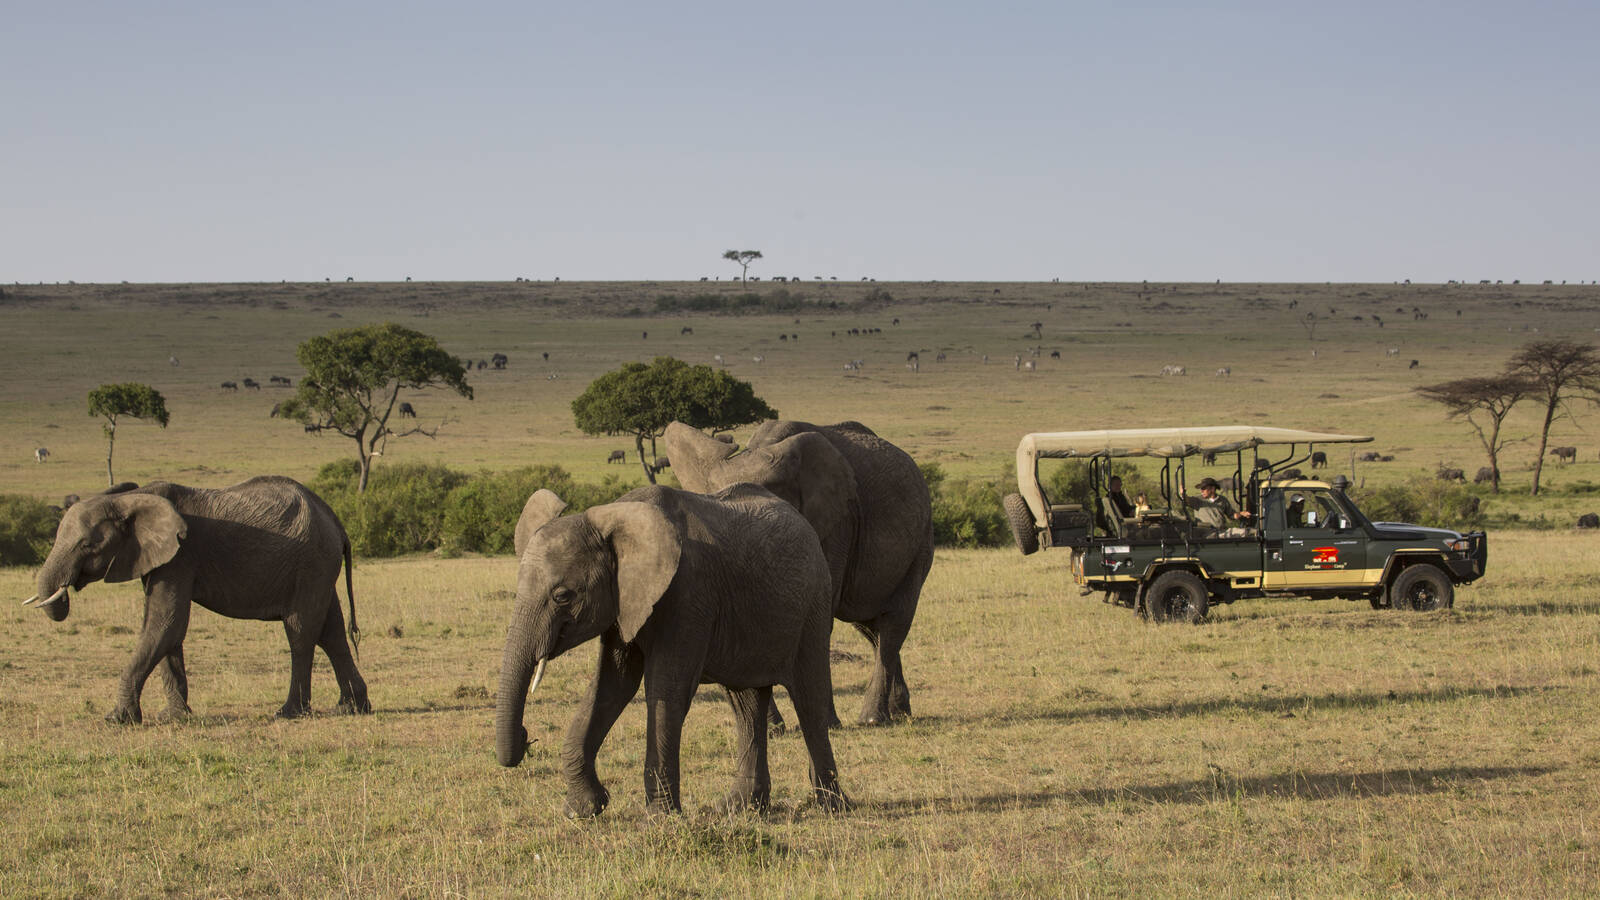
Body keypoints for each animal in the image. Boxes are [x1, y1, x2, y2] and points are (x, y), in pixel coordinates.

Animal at [19, 477, 368, 720]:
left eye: (88, 545)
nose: (65, 592)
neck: (131, 499)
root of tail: (337, 524)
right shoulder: (161, 559)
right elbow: (166, 630)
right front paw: (173, 717)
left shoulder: (180, 556)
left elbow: (165, 623)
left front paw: (116, 718)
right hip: (319, 566)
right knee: (332, 633)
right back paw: (350, 708)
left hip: (310, 563)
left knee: (301, 633)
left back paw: (289, 712)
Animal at [496, 486, 851, 816]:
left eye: (563, 596)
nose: (526, 738)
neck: (612, 518)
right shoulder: (625, 602)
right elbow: (611, 688)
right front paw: (583, 809)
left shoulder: (688, 594)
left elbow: (667, 691)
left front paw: (659, 818)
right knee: (747, 704)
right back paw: (738, 808)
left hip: (813, 605)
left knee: (809, 699)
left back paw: (832, 807)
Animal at [665, 419, 934, 720]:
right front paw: (774, 725)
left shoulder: (839, 522)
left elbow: (819, 614)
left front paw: (827, 722)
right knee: (870, 627)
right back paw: (900, 712)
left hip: (921, 542)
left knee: (893, 623)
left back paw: (874, 717)